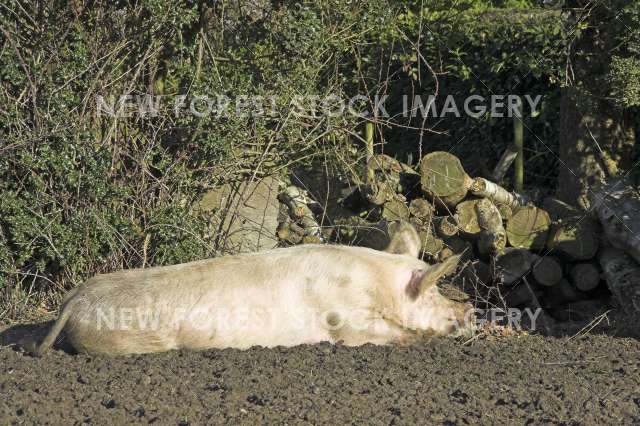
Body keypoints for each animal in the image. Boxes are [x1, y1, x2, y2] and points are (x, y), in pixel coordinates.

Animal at [31, 221, 474, 356]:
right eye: (434, 291)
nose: (469, 312)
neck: (377, 283)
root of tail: (72, 300)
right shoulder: (343, 317)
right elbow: (389, 333)